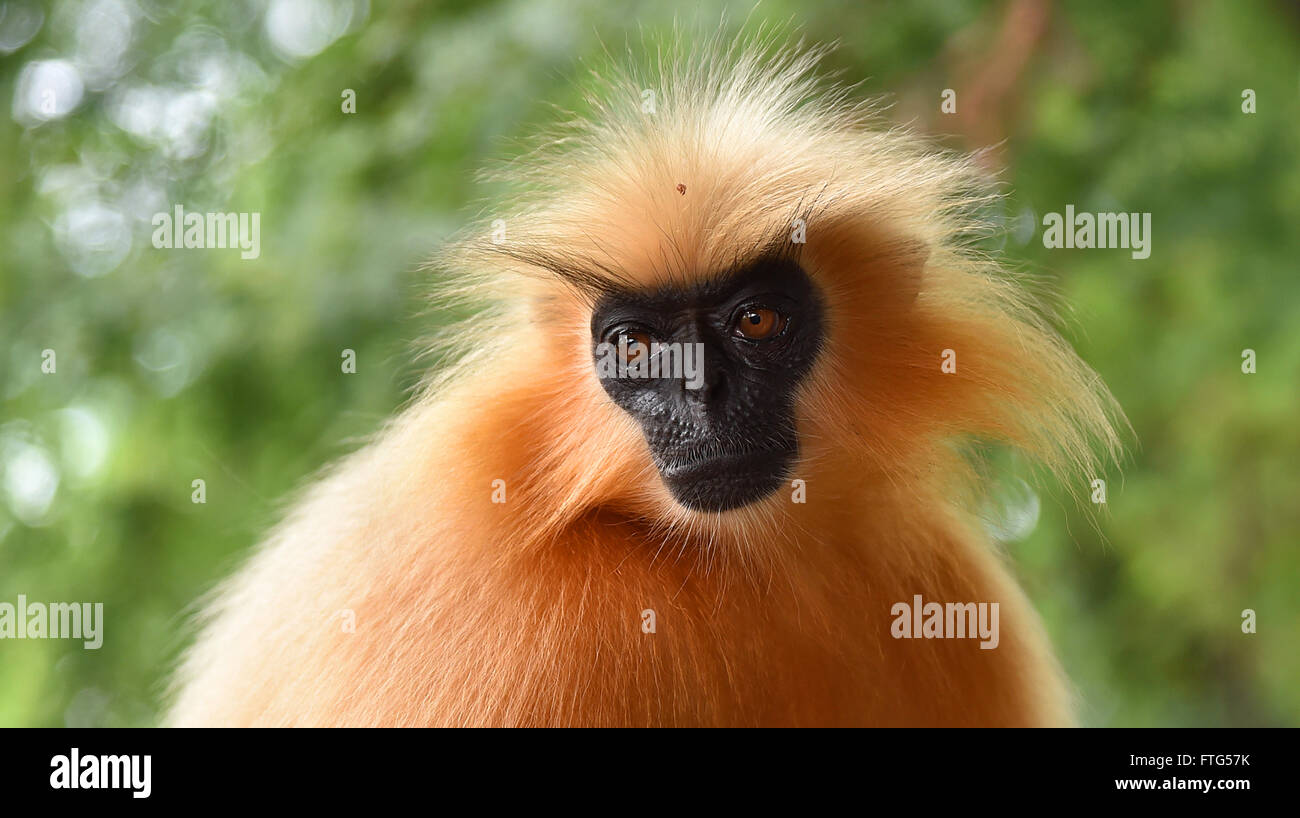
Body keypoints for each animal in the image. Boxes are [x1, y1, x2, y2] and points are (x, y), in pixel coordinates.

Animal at [170, 35, 1128, 723]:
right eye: (635, 348)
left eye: (756, 321)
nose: (701, 397)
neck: (738, 559)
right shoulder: (511, 621)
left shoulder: (944, 592)